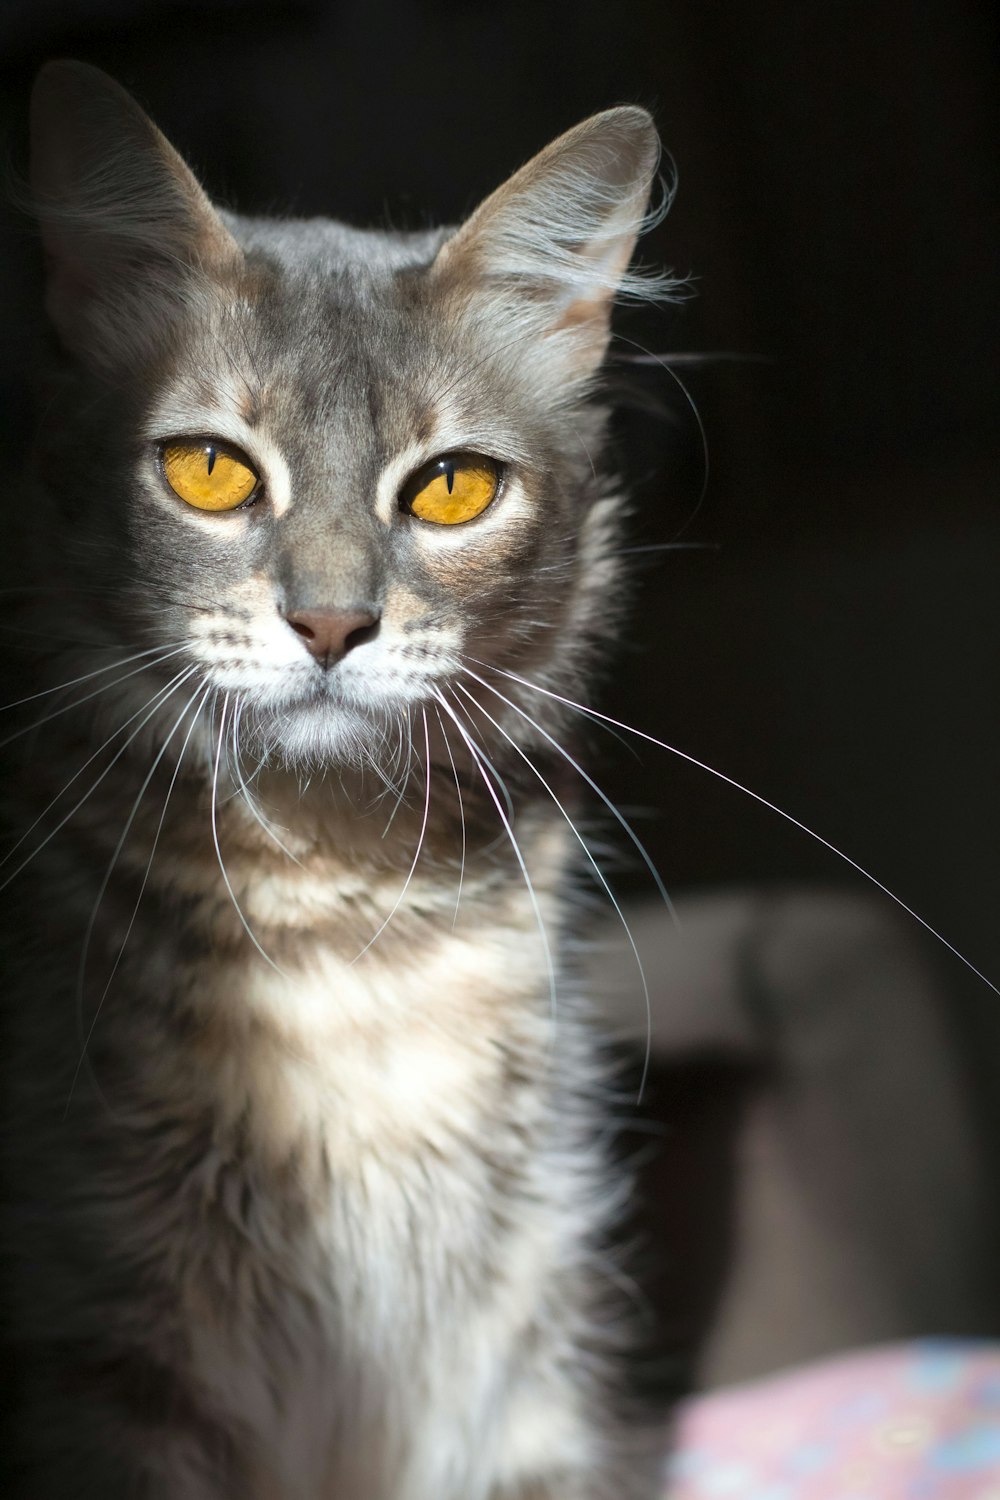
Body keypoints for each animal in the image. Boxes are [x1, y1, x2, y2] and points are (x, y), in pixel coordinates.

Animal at [0, 58, 680, 1500]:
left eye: (453, 490)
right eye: (207, 469)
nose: (328, 624)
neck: (345, 938)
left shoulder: (532, 1318)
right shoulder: (103, 1336)